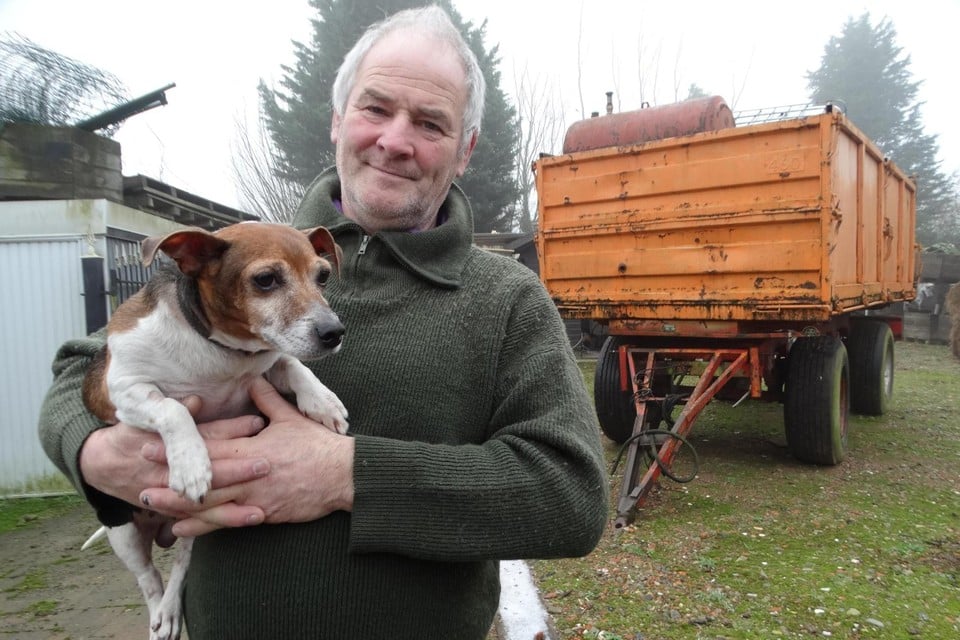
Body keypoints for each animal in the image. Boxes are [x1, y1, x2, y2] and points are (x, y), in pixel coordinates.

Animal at [79, 221, 348, 640]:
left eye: (322, 275)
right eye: (266, 280)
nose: (334, 332)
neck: (223, 354)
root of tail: (163, 524)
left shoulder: (268, 365)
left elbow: (292, 364)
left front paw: (322, 401)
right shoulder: (124, 388)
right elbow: (174, 409)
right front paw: (191, 465)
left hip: (195, 525)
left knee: (179, 565)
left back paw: (171, 609)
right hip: (120, 529)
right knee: (149, 578)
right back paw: (160, 616)